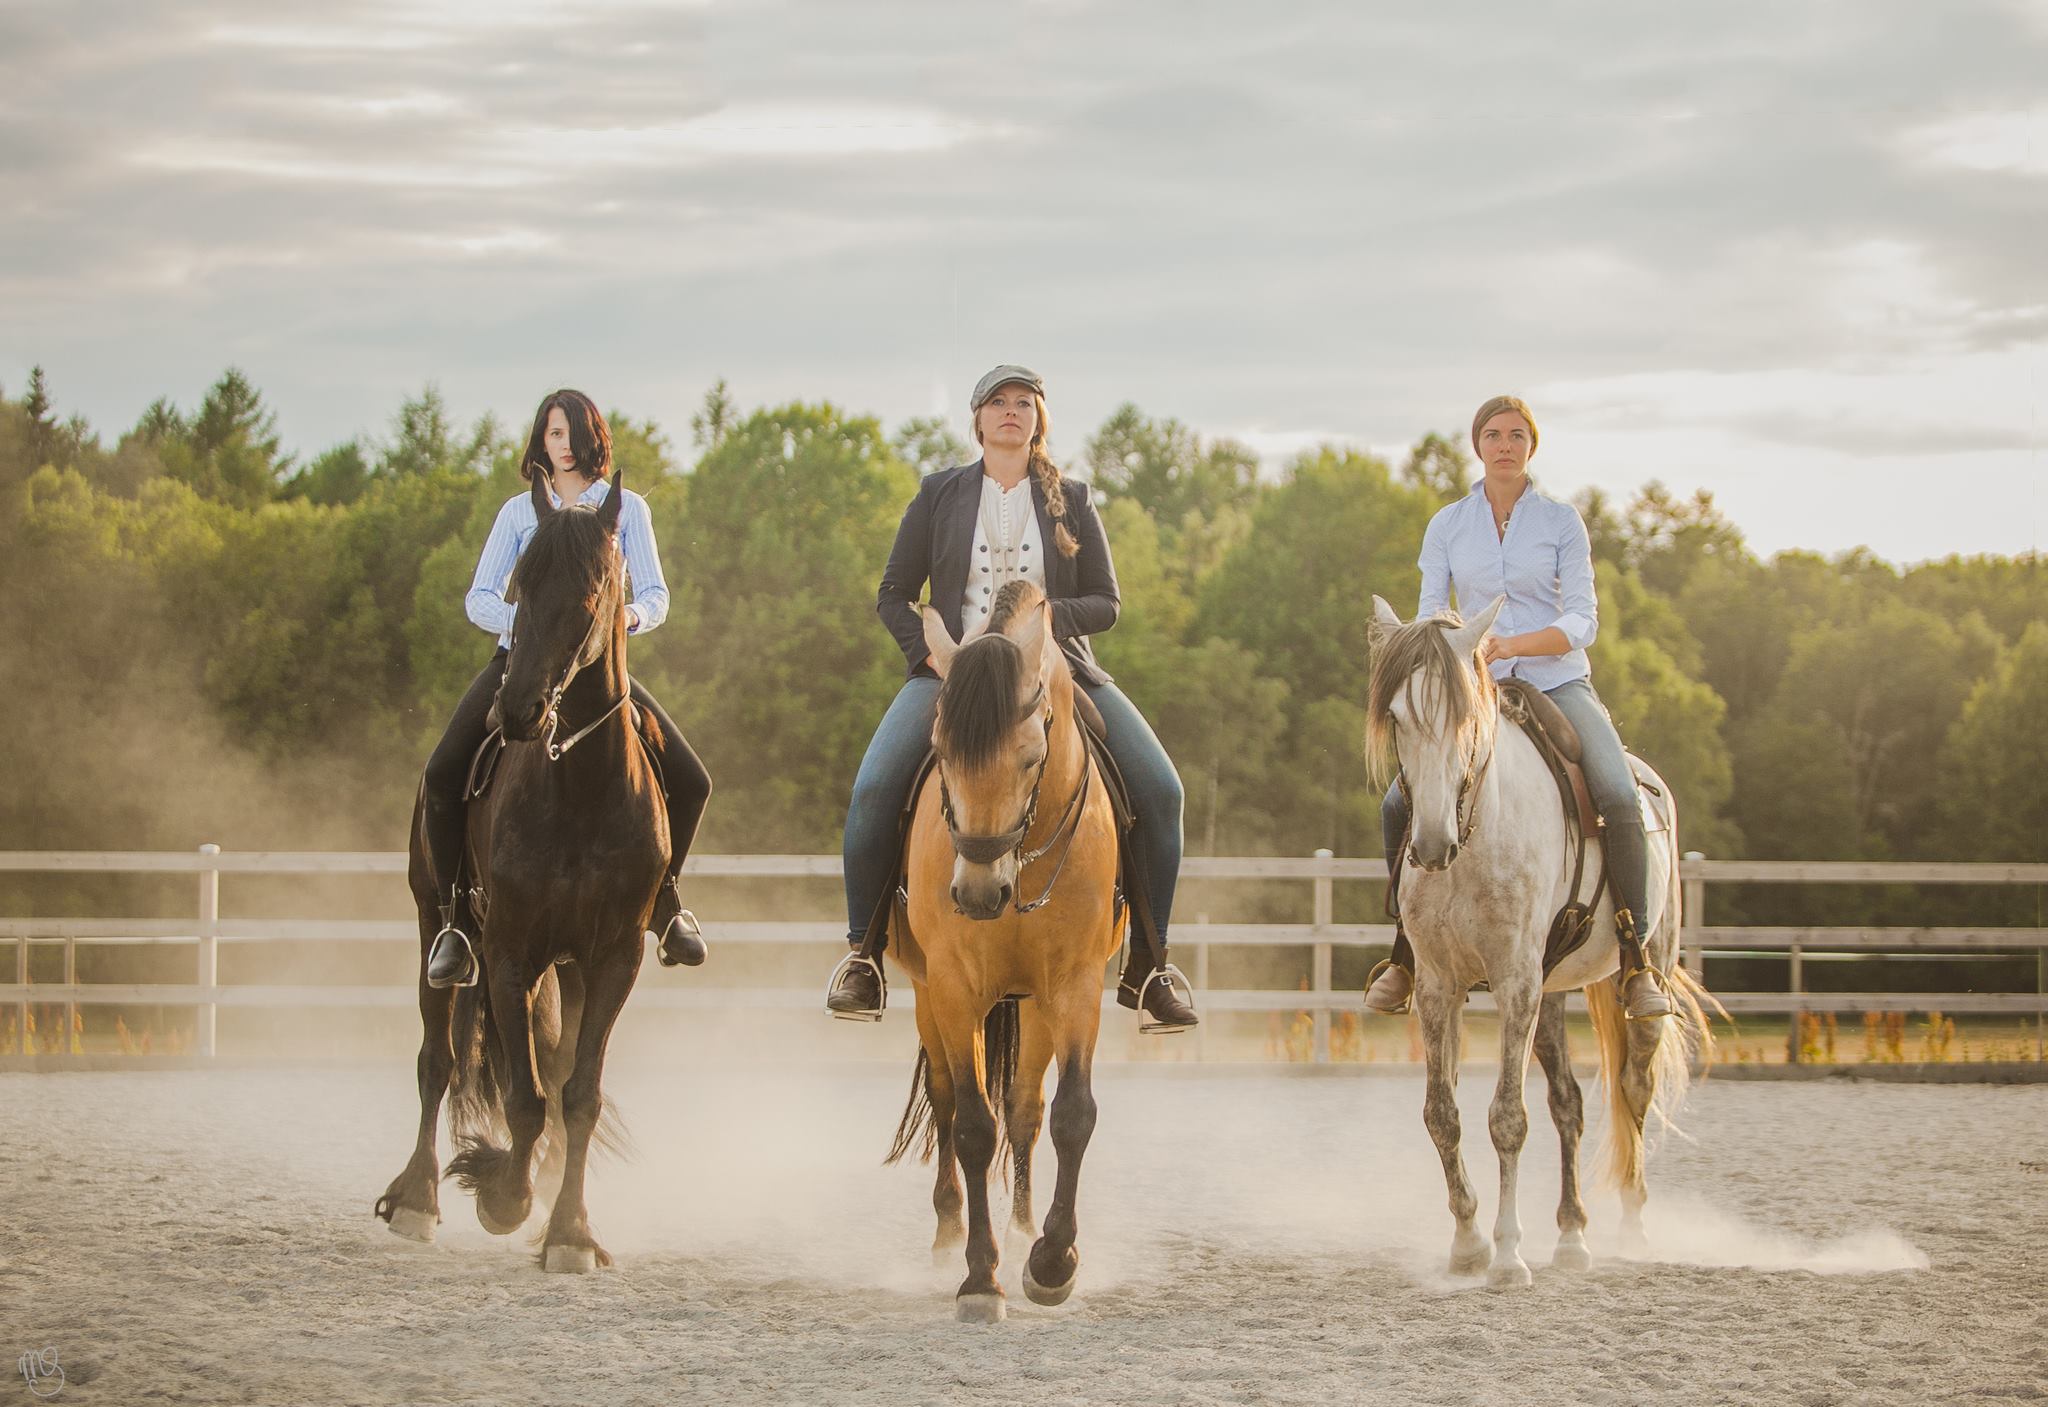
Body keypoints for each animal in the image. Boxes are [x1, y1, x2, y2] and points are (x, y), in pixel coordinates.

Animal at [374, 473, 663, 1277]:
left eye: (595, 591)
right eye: (520, 585)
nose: (521, 710)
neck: (581, 789)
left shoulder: (612, 960)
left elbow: (577, 1094)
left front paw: (569, 1230)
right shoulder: (508, 955)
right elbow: (523, 1097)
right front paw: (503, 1194)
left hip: (566, 967)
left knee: (553, 1073)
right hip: (434, 926)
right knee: (437, 1060)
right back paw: (416, 1198)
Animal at [884, 577, 1122, 1327]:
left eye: (1029, 755)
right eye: (941, 751)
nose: (979, 892)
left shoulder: (1075, 986)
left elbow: (1071, 1114)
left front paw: (1051, 1261)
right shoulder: (955, 989)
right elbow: (970, 1127)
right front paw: (980, 1278)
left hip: (1036, 1004)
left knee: (1025, 1106)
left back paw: (1022, 1229)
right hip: (929, 997)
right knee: (948, 1101)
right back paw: (950, 1234)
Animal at [1368, 593, 1720, 1286]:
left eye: (1465, 715)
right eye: (1396, 716)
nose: (1430, 844)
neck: (1477, 834)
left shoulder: (1514, 982)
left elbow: (1507, 1118)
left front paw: (1507, 1256)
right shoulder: (1440, 986)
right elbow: (1442, 1115)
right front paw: (1468, 1243)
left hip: (1633, 978)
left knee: (1632, 1090)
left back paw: (1632, 1229)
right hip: (1551, 993)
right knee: (1569, 1104)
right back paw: (1572, 1236)